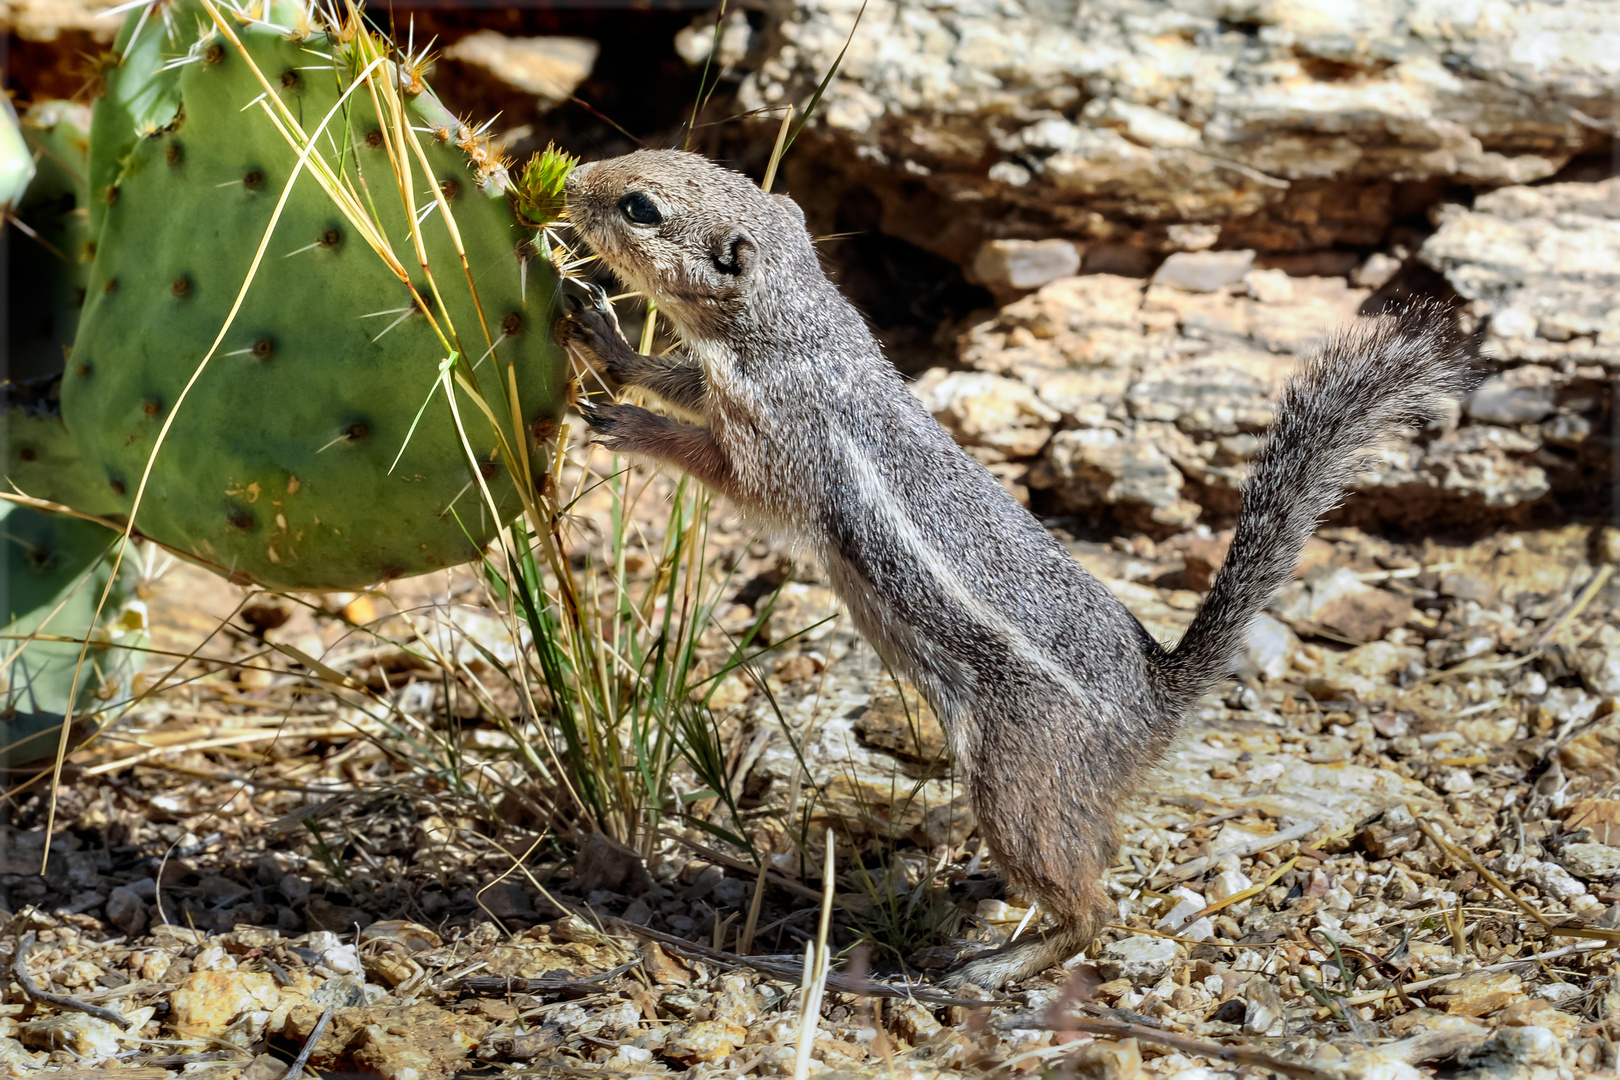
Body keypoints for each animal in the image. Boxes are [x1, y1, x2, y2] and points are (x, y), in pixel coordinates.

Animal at [560, 149, 1483, 990]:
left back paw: (995, 965)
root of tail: (1158, 701)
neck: (792, 322)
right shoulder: (721, 384)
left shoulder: (773, 440)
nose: (571, 180)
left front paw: (628, 423)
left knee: (1092, 910)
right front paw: (608, 340)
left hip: (1013, 784)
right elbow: (674, 375)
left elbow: (719, 465)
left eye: (640, 205)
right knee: (1098, 852)